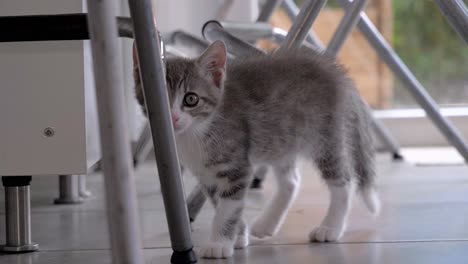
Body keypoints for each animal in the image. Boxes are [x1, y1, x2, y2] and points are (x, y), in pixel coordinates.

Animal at [133, 40, 378, 258]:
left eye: (191, 99)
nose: (172, 118)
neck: (197, 131)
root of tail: (335, 69)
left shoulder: (235, 167)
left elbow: (227, 208)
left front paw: (219, 244)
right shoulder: (205, 174)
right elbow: (222, 203)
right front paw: (238, 236)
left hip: (325, 138)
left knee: (343, 182)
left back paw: (330, 228)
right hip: (281, 139)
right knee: (291, 180)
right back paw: (266, 224)